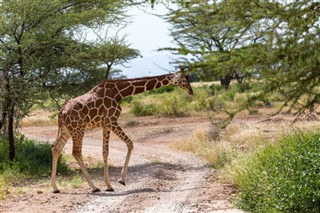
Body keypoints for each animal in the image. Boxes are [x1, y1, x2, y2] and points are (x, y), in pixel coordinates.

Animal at [51, 71, 194, 193]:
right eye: (183, 80)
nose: (191, 91)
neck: (119, 92)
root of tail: (61, 112)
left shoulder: (106, 125)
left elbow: (105, 152)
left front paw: (109, 185)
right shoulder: (112, 121)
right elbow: (130, 143)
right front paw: (121, 180)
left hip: (66, 130)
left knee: (56, 148)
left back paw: (55, 188)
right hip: (78, 129)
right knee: (76, 152)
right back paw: (94, 187)